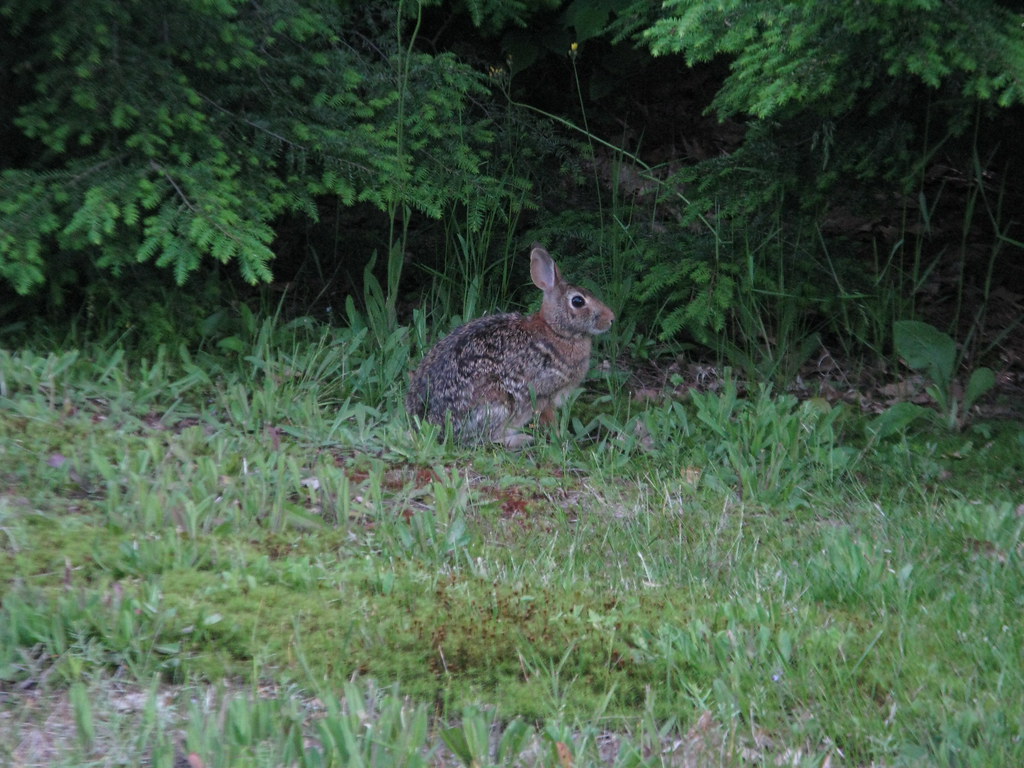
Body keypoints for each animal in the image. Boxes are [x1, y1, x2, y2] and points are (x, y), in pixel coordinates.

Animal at [406, 244, 615, 448]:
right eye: (578, 301)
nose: (611, 318)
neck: (556, 331)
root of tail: (432, 423)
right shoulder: (543, 393)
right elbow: (550, 419)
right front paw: (560, 438)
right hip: (498, 404)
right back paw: (521, 439)